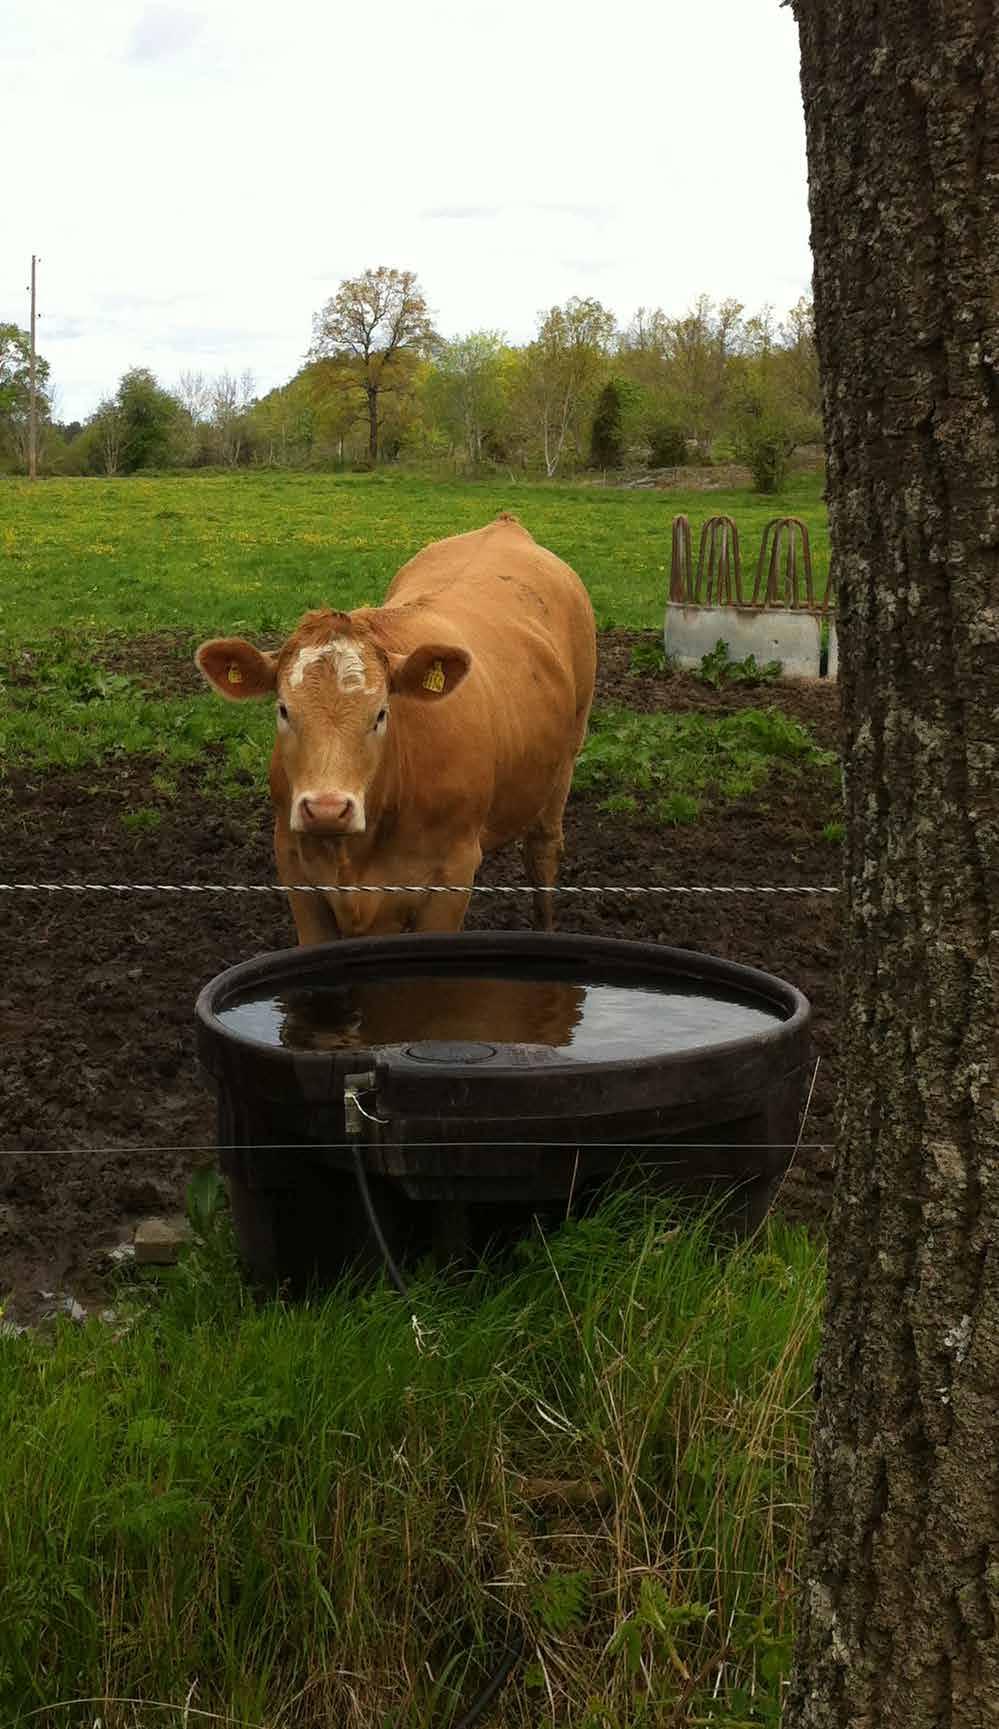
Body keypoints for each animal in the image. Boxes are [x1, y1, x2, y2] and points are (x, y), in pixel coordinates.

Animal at [198, 511, 594, 947]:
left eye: (381, 714)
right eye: (284, 710)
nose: (326, 810)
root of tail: (505, 526)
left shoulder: (452, 875)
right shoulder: (295, 868)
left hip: (567, 757)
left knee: (542, 850)